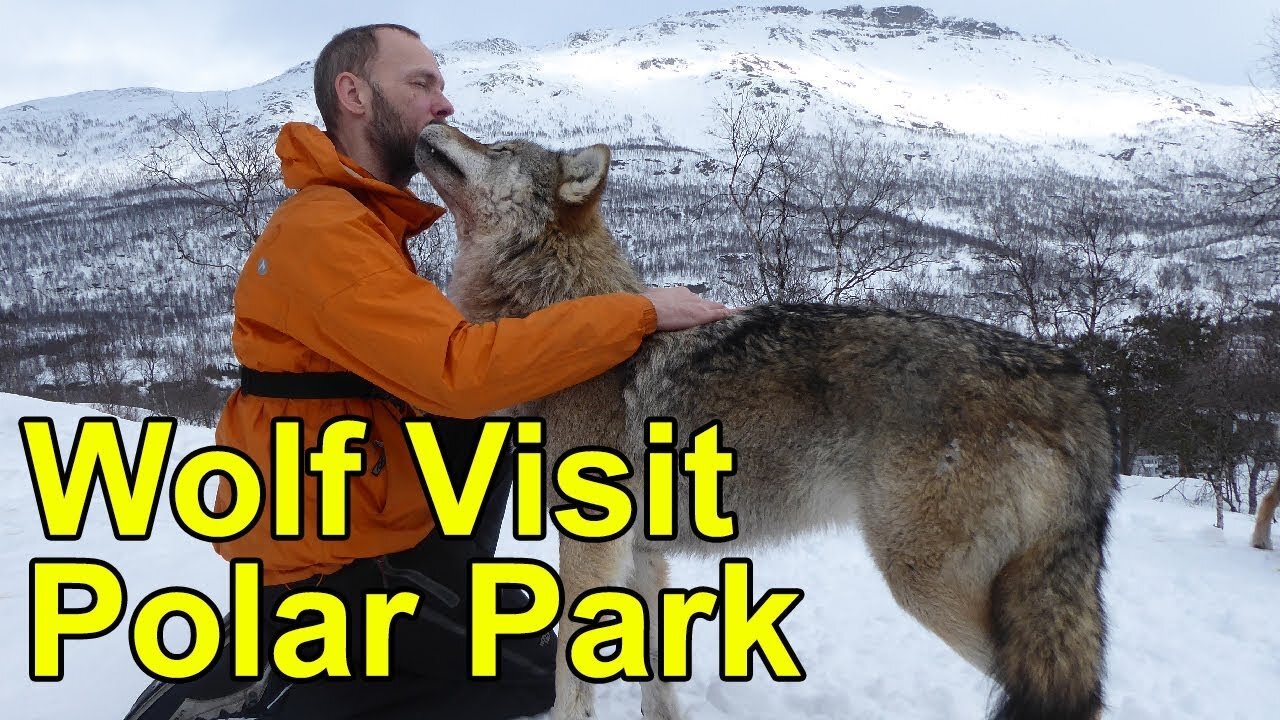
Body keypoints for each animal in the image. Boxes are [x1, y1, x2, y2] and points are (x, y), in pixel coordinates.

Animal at [414, 124, 1116, 717]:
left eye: (501, 148)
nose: (433, 124)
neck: (554, 316)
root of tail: (1075, 378)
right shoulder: (641, 553)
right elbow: (654, 678)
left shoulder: (592, 548)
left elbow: (570, 676)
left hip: (932, 587)